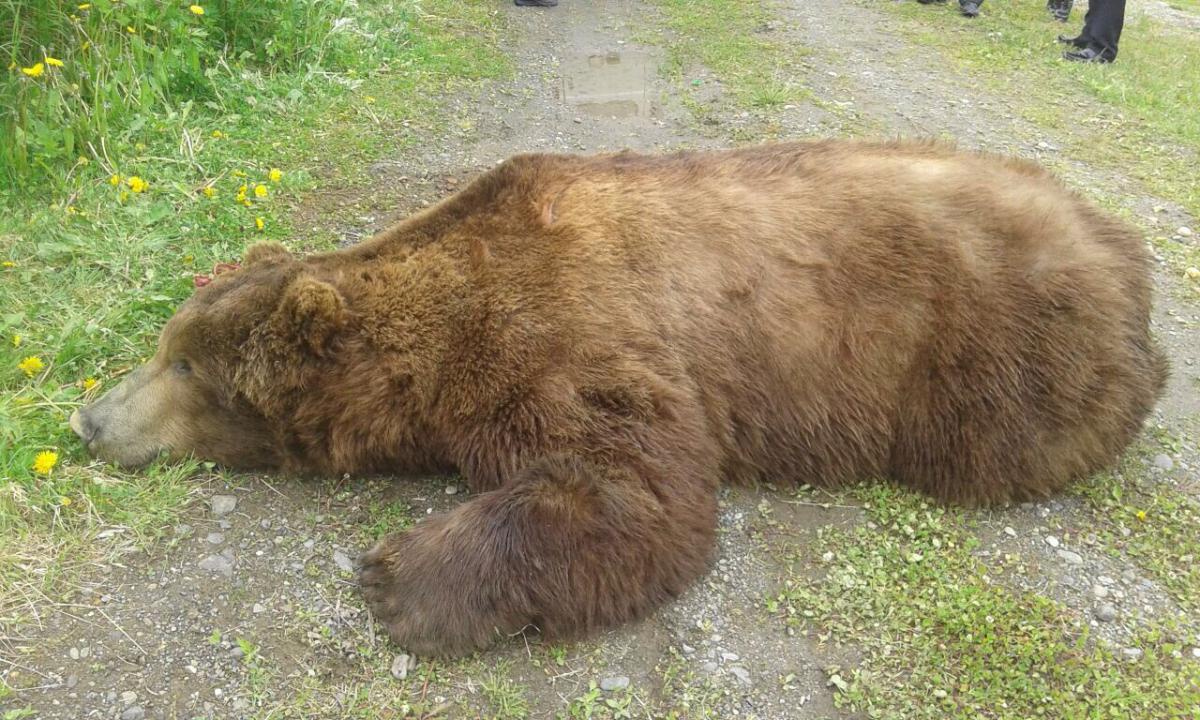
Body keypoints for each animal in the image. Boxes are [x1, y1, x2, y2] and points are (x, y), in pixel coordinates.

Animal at [70, 138, 1166, 657]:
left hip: (998, 362)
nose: (87, 418)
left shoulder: (574, 333)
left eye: (184, 368)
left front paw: (398, 578)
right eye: (164, 344)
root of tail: (1122, 244)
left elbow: (634, 487)